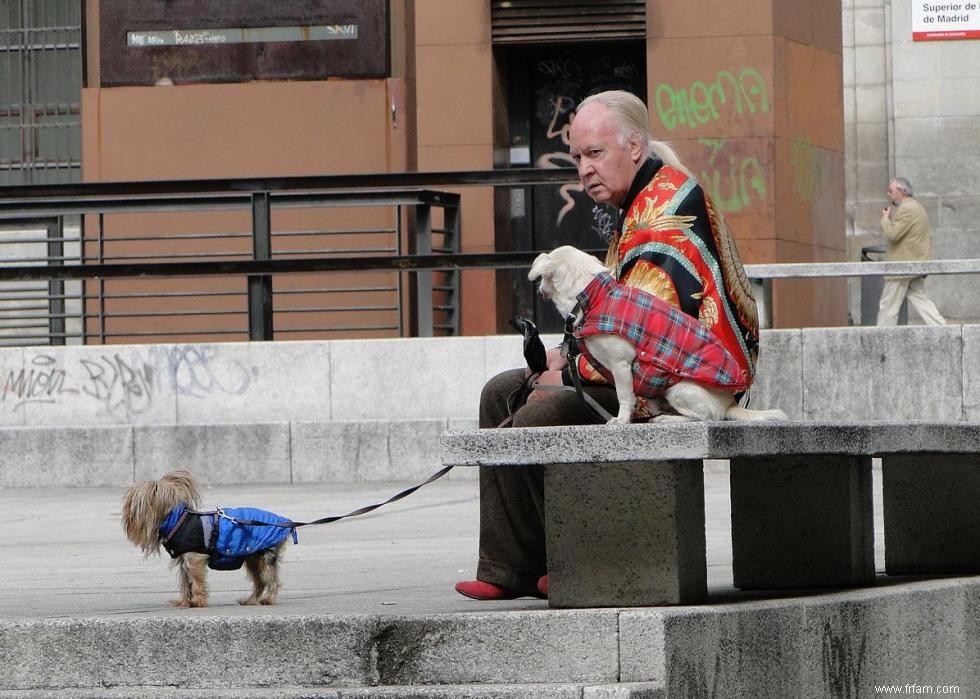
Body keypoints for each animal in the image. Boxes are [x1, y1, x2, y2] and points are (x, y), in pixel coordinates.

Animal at [528, 246, 788, 424]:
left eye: (541, 279)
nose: (537, 287)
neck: (592, 296)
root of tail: (730, 405)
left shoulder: (621, 364)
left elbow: (624, 396)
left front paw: (621, 420)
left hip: (679, 389)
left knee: (707, 417)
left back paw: (671, 419)